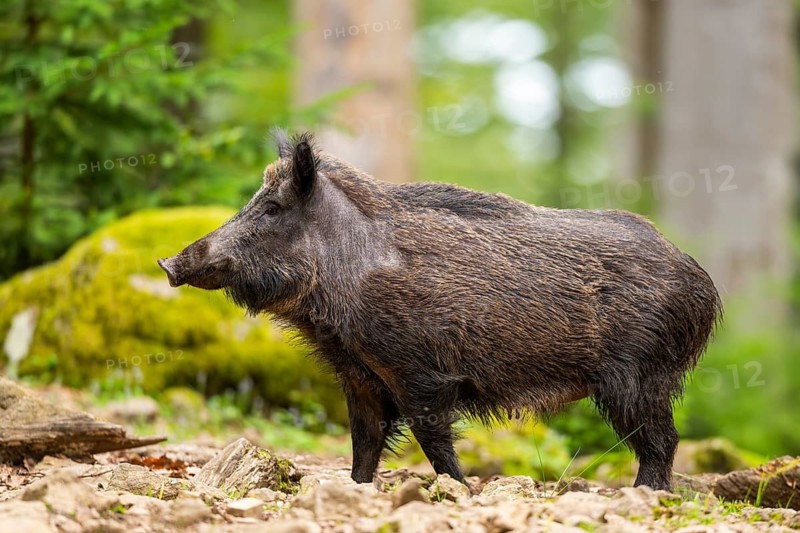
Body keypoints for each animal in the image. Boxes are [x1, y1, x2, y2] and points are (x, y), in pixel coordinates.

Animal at [158, 130, 722, 491]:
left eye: (272, 208)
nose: (168, 261)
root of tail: (703, 282)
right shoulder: (360, 375)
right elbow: (364, 440)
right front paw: (357, 488)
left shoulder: (420, 372)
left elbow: (431, 439)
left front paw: (459, 489)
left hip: (638, 377)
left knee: (663, 441)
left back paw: (647, 494)